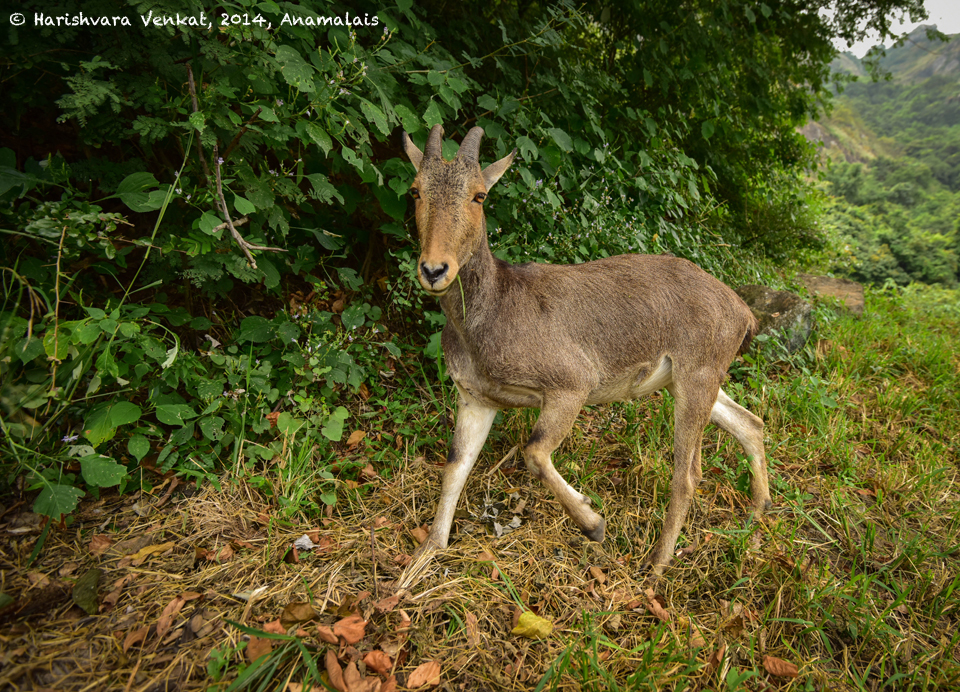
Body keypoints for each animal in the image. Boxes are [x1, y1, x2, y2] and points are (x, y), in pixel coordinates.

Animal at [400, 125, 772, 580]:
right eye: (416, 190)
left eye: (479, 195)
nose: (435, 270)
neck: (491, 315)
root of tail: (743, 313)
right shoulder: (476, 398)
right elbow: (455, 466)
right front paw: (426, 554)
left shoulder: (570, 383)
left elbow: (534, 451)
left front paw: (594, 522)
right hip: (692, 380)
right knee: (750, 423)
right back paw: (756, 518)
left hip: (696, 374)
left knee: (687, 474)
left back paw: (657, 564)